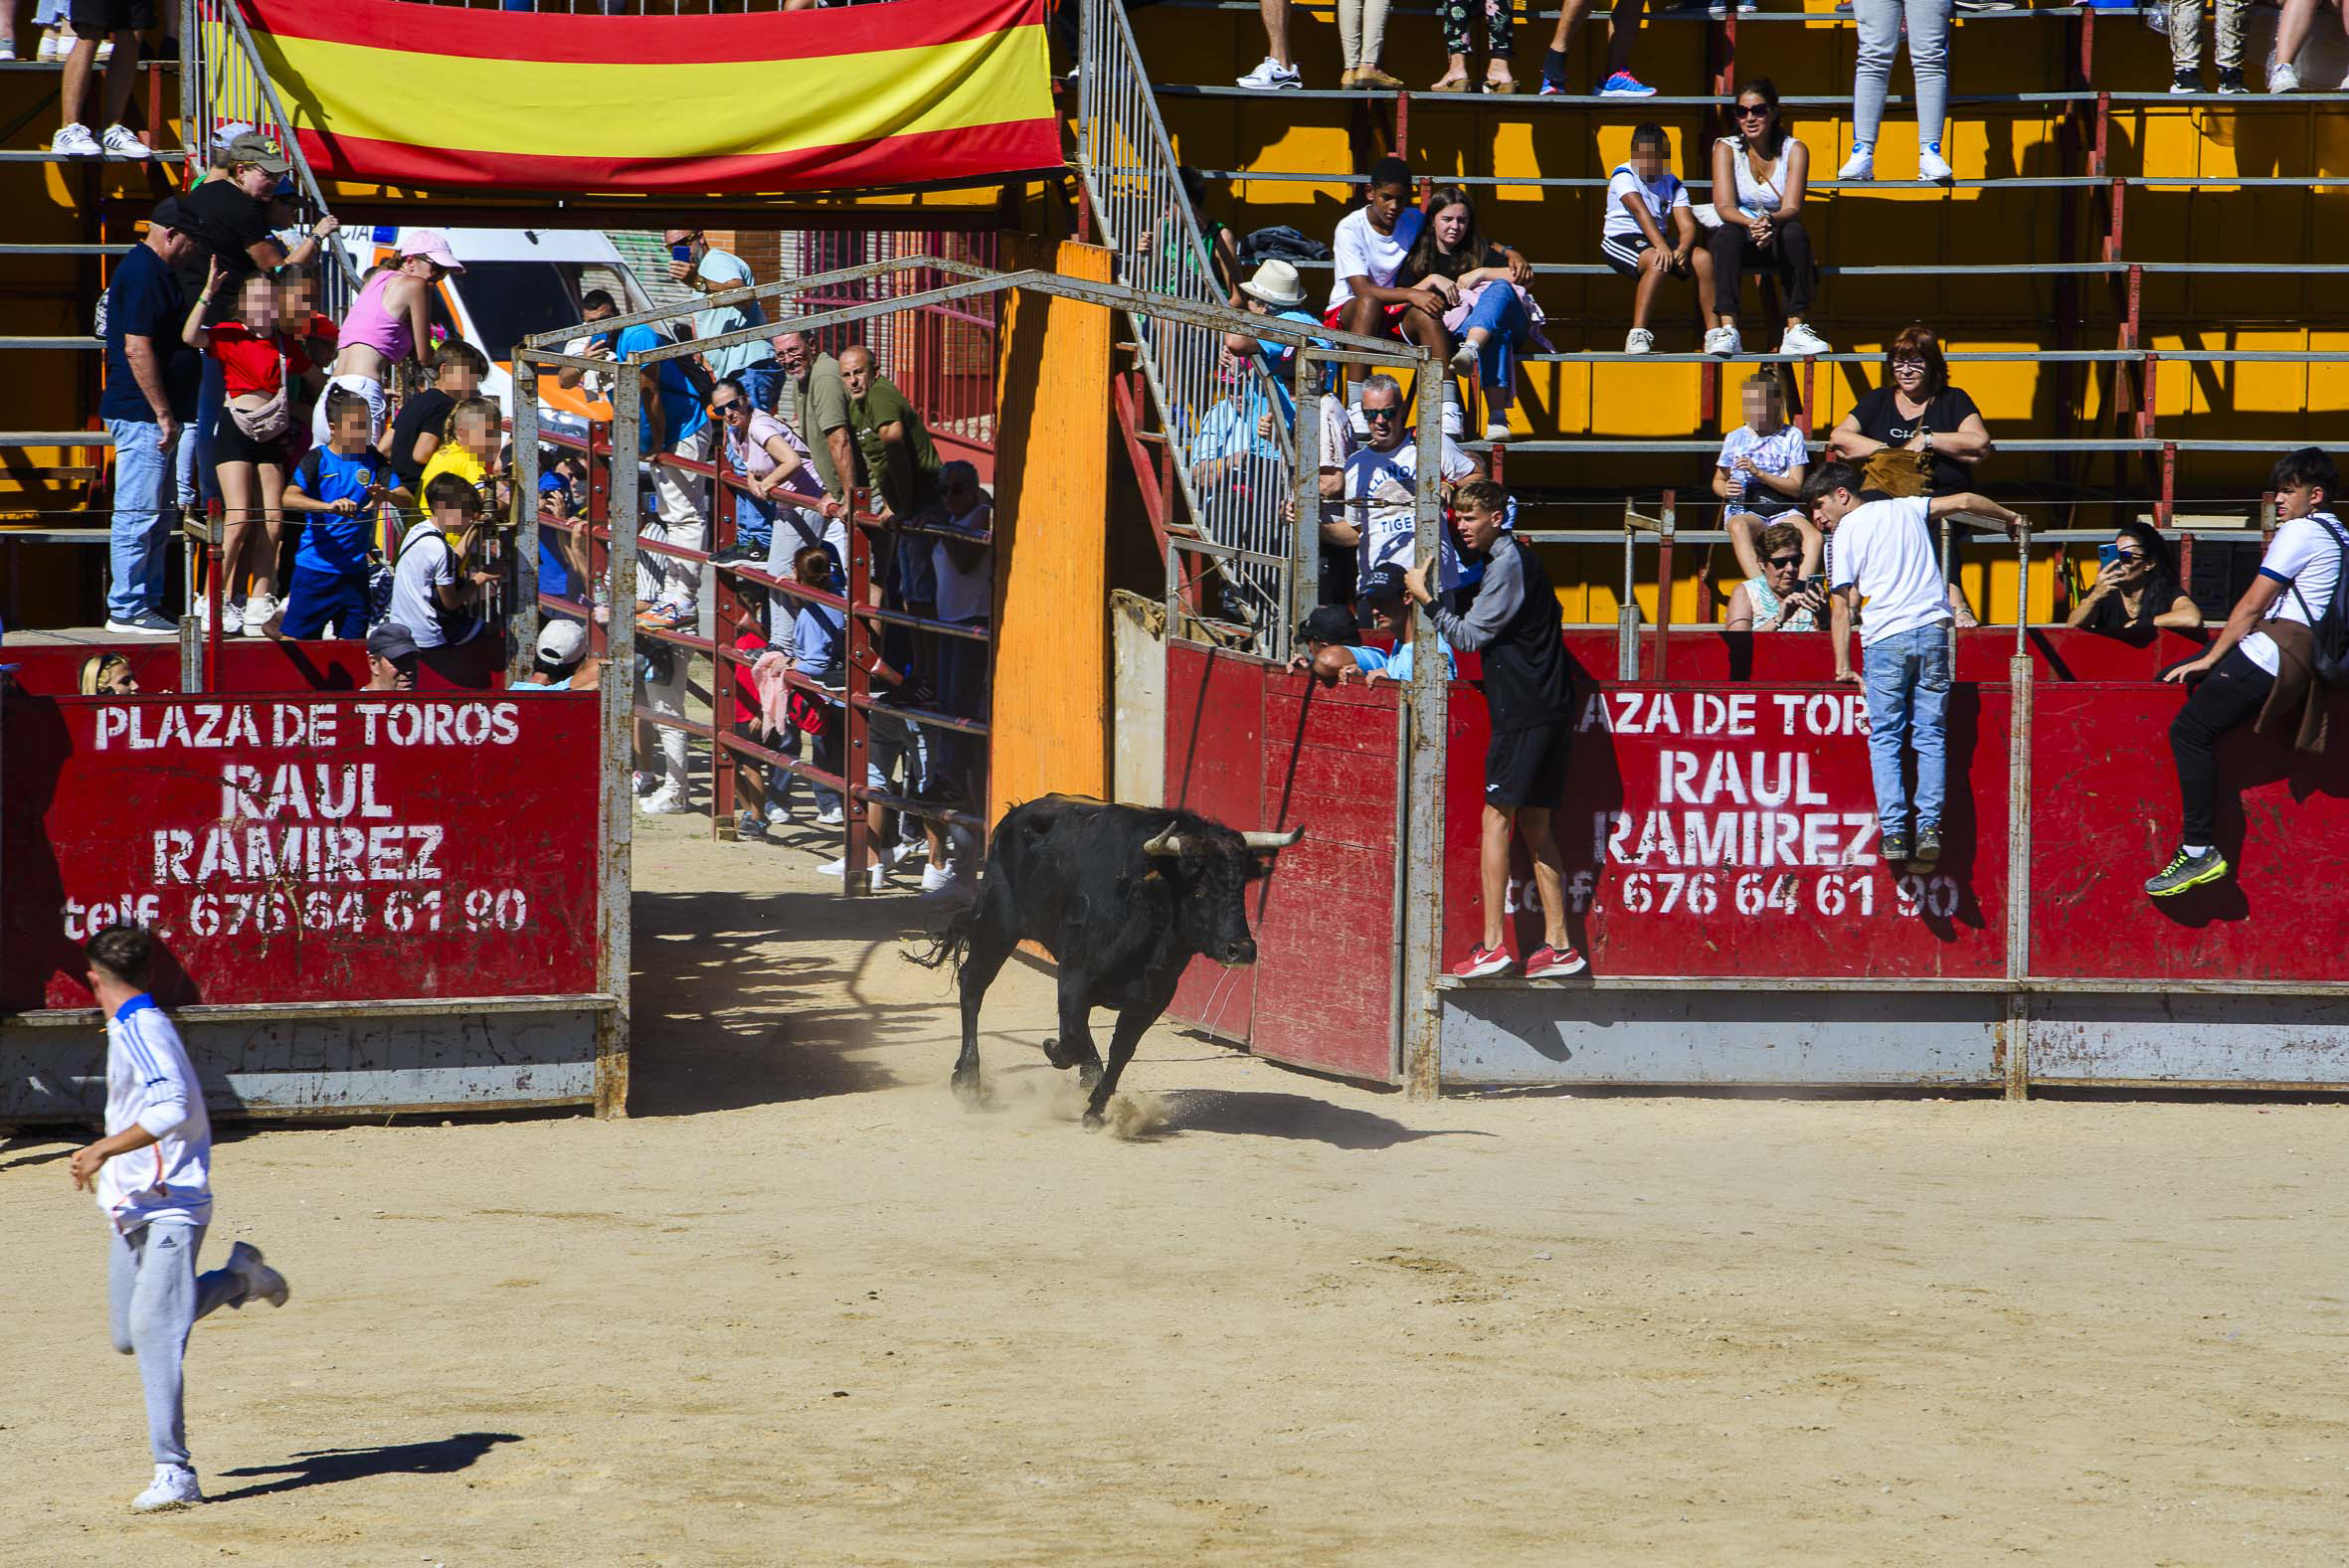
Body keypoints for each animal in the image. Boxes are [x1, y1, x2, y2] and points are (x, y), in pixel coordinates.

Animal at [911, 797, 1306, 1127]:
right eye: (1198, 889)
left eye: (1241, 887)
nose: (1242, 949)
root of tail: (1014, 813)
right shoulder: (1074, 976)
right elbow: (1071, 1037)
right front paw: (1055, 1053)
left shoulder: (1153, 997)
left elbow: (1119, 1050)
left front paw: (1096, 1107)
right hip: (997, 924)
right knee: (973, 985)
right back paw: (967, 1078)